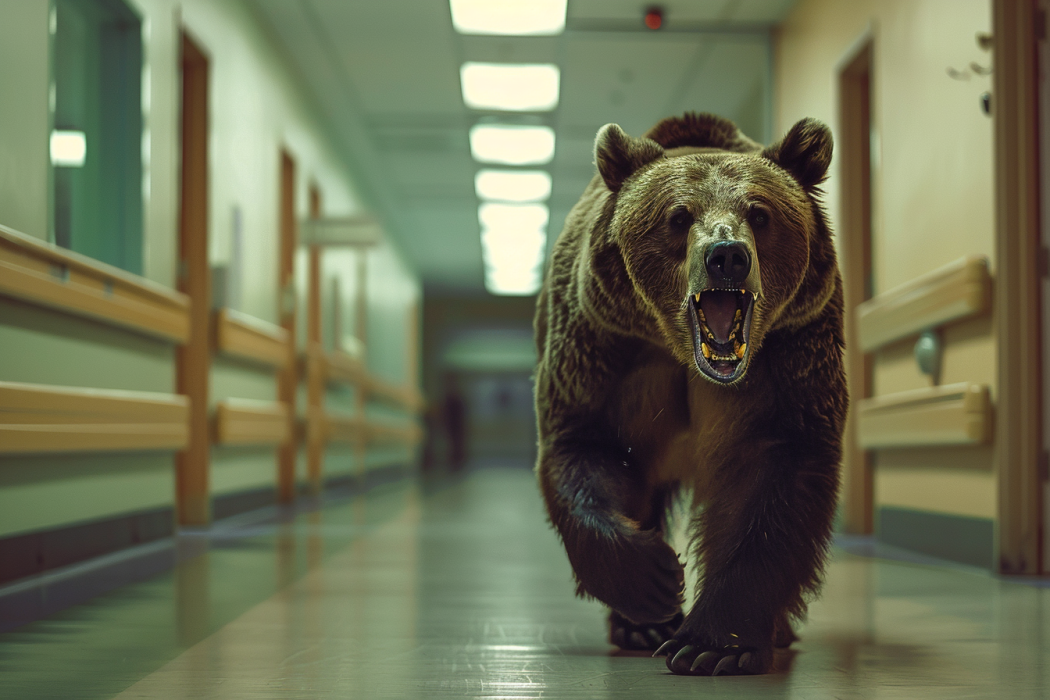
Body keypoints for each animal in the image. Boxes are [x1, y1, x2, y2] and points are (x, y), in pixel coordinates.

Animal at [533, 112, 846, 676]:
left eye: (760, 213)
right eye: (678, 217)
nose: (726, 256)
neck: (680, 351)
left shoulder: (791, 354)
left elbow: (774, 480)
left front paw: (716, 644)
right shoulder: (602, 348)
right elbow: (584, 447)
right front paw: (654, 580)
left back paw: (778, 629)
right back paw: (642, 625)